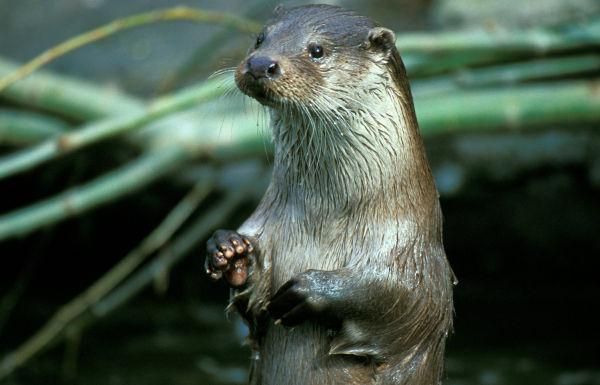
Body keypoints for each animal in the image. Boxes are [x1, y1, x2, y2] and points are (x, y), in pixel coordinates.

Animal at [206, 3, 454, 384]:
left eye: (317, 50)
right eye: (260, 38)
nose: (261, 64)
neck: (324, 218)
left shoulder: (413, 252)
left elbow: (405, 299)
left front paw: (314, 291)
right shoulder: (269, 224)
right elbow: (254, 301)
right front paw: (230, 251)